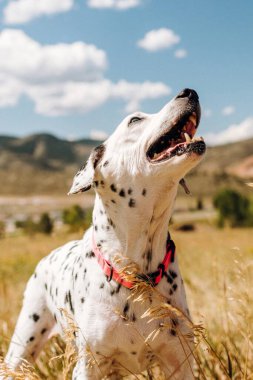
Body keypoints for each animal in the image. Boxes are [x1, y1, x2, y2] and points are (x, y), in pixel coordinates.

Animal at [2, 88, 206, 378]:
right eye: (135, 120)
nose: (189, 92)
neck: (136, 272)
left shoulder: (180, 360)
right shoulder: (89, 365)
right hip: (23, 344)